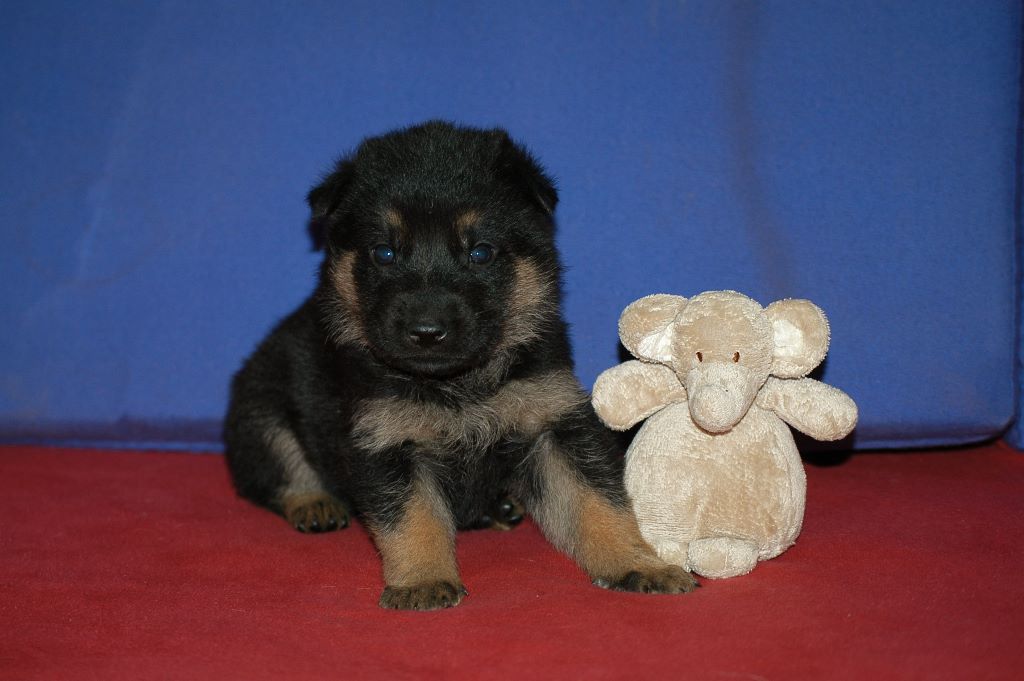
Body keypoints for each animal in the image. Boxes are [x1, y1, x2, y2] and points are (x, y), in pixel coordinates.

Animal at [223, 121, 697, 610]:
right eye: (384, 253)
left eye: (480, 253)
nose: (427, 331)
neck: (458, 384)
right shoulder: (384, 440)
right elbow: (413, 517)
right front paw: (423, 580)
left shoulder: (553, 422)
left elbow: (597, 503)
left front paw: (638, 563)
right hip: (260, 408)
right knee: (279, 467)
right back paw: (313, 502)